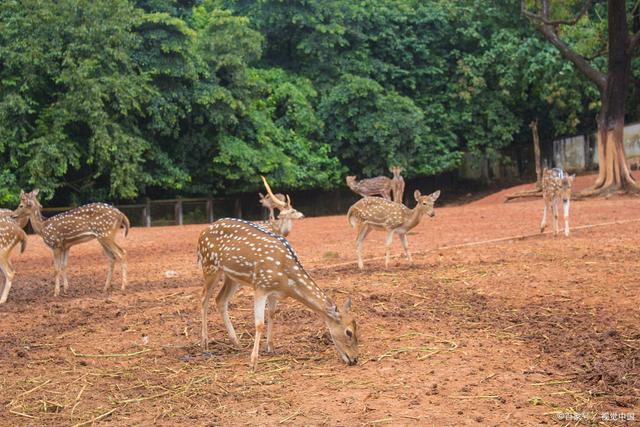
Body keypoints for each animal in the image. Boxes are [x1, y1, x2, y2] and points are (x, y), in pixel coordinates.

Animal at [198, 219, 358, 370]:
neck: (286, 283)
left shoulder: (274, 293)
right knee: (204, 299)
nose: (355, 359)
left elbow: (272, 315)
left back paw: (236, 342)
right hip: (209, 265)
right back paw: (205, 342)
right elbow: (259, 324)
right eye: (348, 332)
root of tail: (203, 232)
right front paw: (253, 362)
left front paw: (270, 348)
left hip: (232, 277)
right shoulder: (260, 286)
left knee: (220, 300)